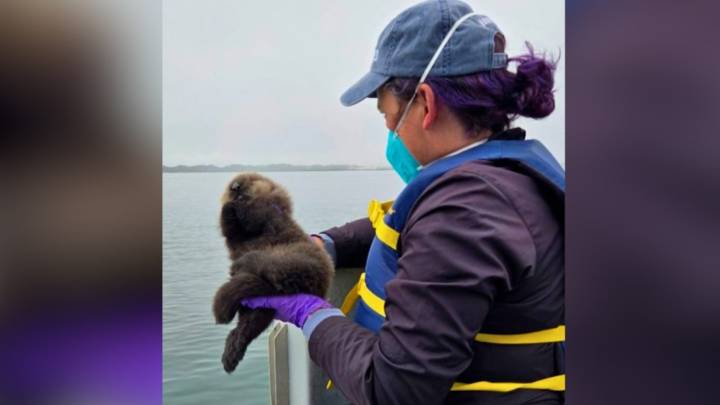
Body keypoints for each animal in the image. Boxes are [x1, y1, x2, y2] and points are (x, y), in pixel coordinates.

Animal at [212, 173, 334, 373]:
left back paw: (242, 264)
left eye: (250, 180)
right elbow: (229, 228)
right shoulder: (237, 236)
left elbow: (254, 215)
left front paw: (239, 203)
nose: (236, 187)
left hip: (294, 259)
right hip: (259, 307)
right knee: (248, 325)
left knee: (267, 265)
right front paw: (229, 205)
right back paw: (231, 354)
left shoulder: (270, 210)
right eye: (231, 184)